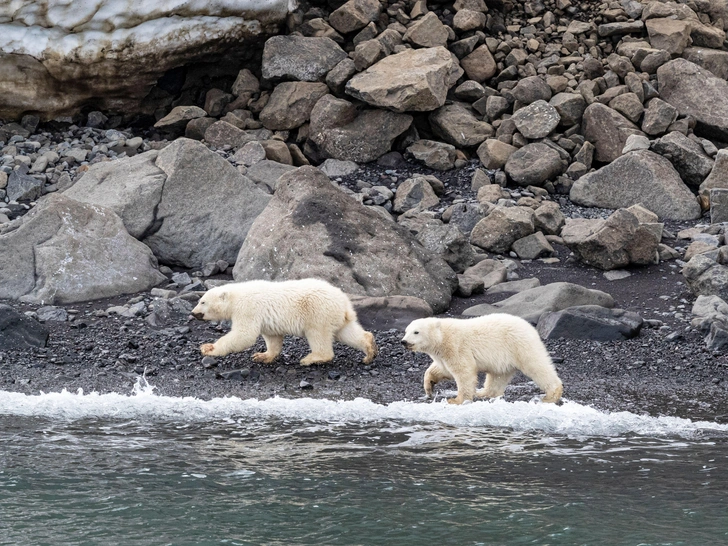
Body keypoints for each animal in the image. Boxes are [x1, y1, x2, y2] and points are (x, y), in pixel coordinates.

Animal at [191, 278, 378, 364]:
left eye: (203, 302)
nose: (193, 313)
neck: (235, 296)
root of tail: (344, 301)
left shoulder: (248, 309)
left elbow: (244, 335)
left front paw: (208, 348)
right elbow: (272, 337)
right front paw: (262, 355)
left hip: (318, 311)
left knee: (318, 334)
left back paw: (311, 358)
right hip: (337, 315)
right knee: (347, 332)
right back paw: (369, 351)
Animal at [398, 312, 564, 402]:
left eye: (416, 332)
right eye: (406, 331)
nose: (404, 341)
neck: (442, 337)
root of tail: (530, 327)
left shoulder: (456, 346)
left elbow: (464, 371)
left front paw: (456, 400)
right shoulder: (443, 353)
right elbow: (442, 369)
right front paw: (429, 387)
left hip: (519, 345)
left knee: (536, 365)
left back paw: (551, 395)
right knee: (497, 376)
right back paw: (483, 393)